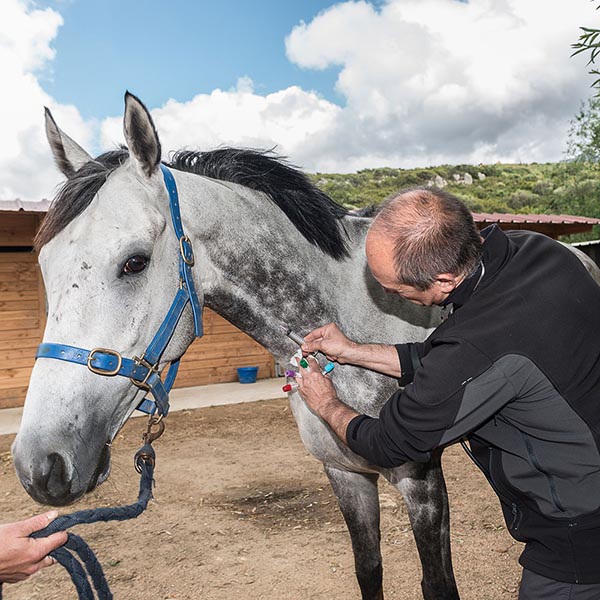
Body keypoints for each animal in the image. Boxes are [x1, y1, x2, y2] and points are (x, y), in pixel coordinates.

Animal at [10, 94, 460, 600]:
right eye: (44, 264)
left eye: (134, 262)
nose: (39, 464)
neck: (356, 310)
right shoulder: (346, 475)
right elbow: (369, 570)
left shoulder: (422, 484)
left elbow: (438, 583)